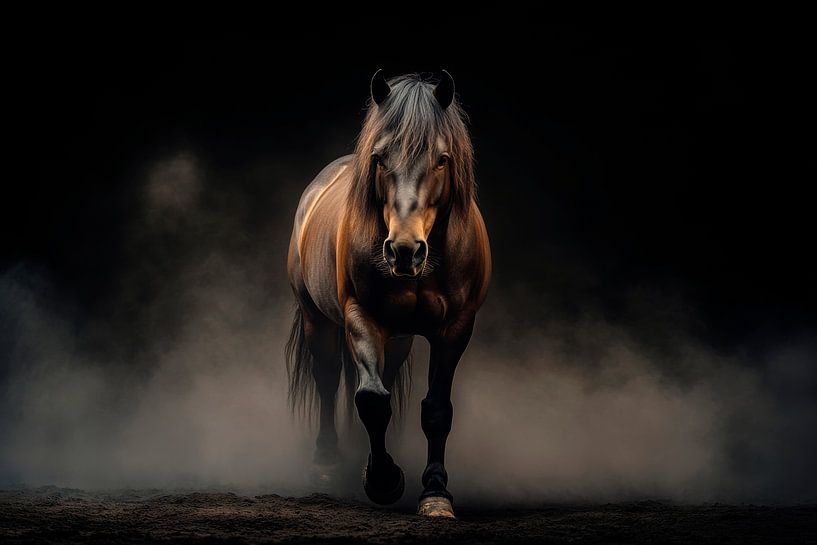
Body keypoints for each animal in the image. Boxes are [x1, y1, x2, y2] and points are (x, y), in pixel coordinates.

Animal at [286, 70, 491, 518]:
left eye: (442, 159)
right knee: (328, 379)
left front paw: (435, 493)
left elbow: (436, 410)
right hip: (318, 320)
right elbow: (371, 399)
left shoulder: (456, 329)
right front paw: (383, 481)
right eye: (380, 158)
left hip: (399, 338)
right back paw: (327, 464)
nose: (404, 250)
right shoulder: (362, 318)